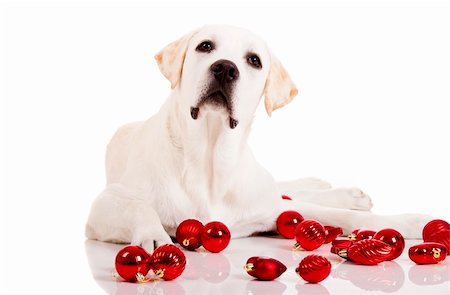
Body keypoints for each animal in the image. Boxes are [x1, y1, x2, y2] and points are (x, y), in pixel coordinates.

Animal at [85, 24, 432, 252]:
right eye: (205, 46)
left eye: (254, 60)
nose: (225, 68)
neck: (210, 161)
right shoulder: (103, 205)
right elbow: (139, 207)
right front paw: (153, 234)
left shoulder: (270, 208)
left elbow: (339, 215)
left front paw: (412, 222)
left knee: (287, 190)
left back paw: (340, 192)